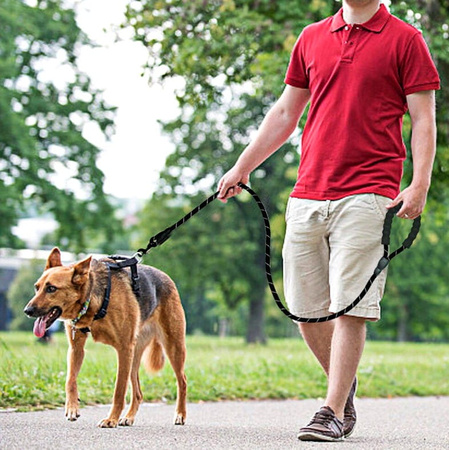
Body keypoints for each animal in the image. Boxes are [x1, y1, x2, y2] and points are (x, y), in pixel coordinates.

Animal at [23, 248, 187, 428]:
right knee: (138, 393)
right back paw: (129, 417)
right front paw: (72, 408)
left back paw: (180, 415)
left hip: (172, 347)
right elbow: (70, 380)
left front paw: (111, 419)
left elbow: (119, 390)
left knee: (182, 381)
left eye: (51, 288)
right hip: (134, 357)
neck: (91, 299)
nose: (27, 310)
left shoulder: (123, 349)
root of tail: (166, 277)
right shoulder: (76, 348)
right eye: (36, 288)